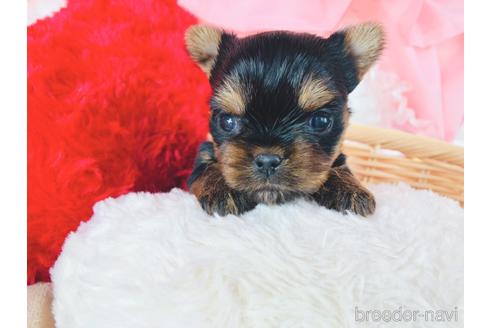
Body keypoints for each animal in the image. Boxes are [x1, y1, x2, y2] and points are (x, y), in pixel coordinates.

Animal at [184, 23, 384, 218]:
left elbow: (340, 167)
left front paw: (350, 189)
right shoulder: (205, 151)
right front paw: (222, 190)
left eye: (320, 121)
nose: (267, 161)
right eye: (227, 121)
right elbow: (207, 168)